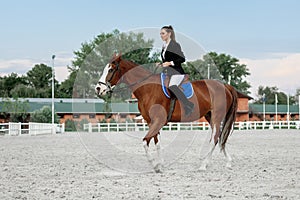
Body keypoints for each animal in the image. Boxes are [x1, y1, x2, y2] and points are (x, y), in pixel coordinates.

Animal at [95, 53, 238, 172]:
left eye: (111, 70)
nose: (98, 89)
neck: (148, 88)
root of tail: (225, 86)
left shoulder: (158, 120)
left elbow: (145, 141)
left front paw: (154, 165)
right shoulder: (151, 121)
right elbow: (156, 141)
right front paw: (160, 164)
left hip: (217, 116)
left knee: (215, 137)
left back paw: (203, 165)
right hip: (210, 116)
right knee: (219, 137)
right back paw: (228, 162)